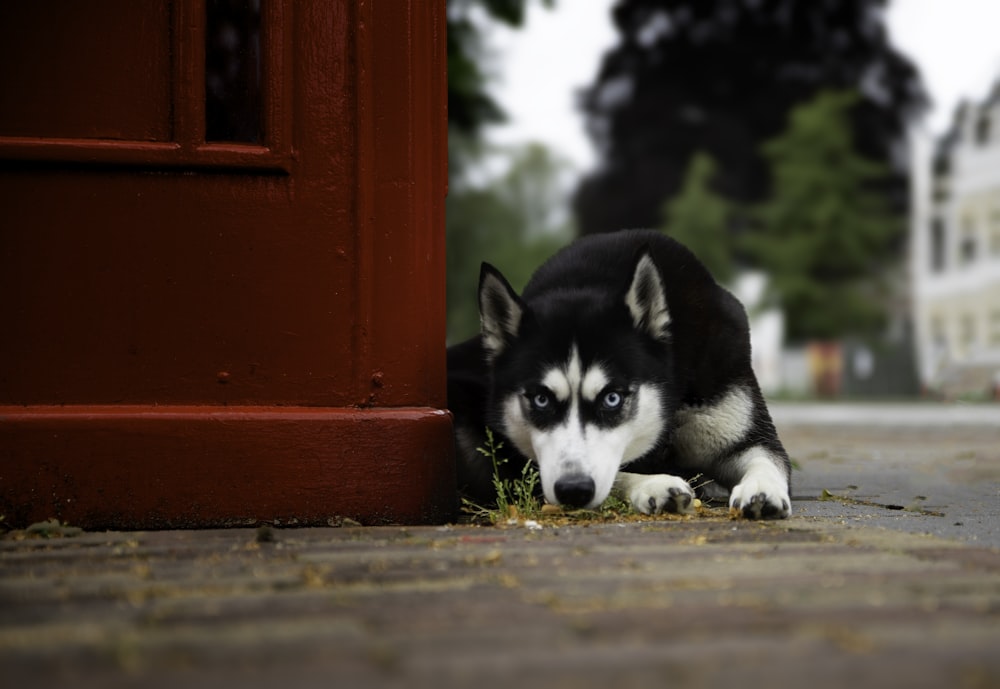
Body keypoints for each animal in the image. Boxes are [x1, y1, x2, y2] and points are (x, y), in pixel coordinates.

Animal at [450, 228, 792, 520]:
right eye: (541, 400)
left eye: (612, 398)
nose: (573, 489)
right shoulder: (521, 456)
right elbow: (613, 475)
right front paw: (653, 484)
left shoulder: (741, 435)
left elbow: (767, 460)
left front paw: (761, 490)